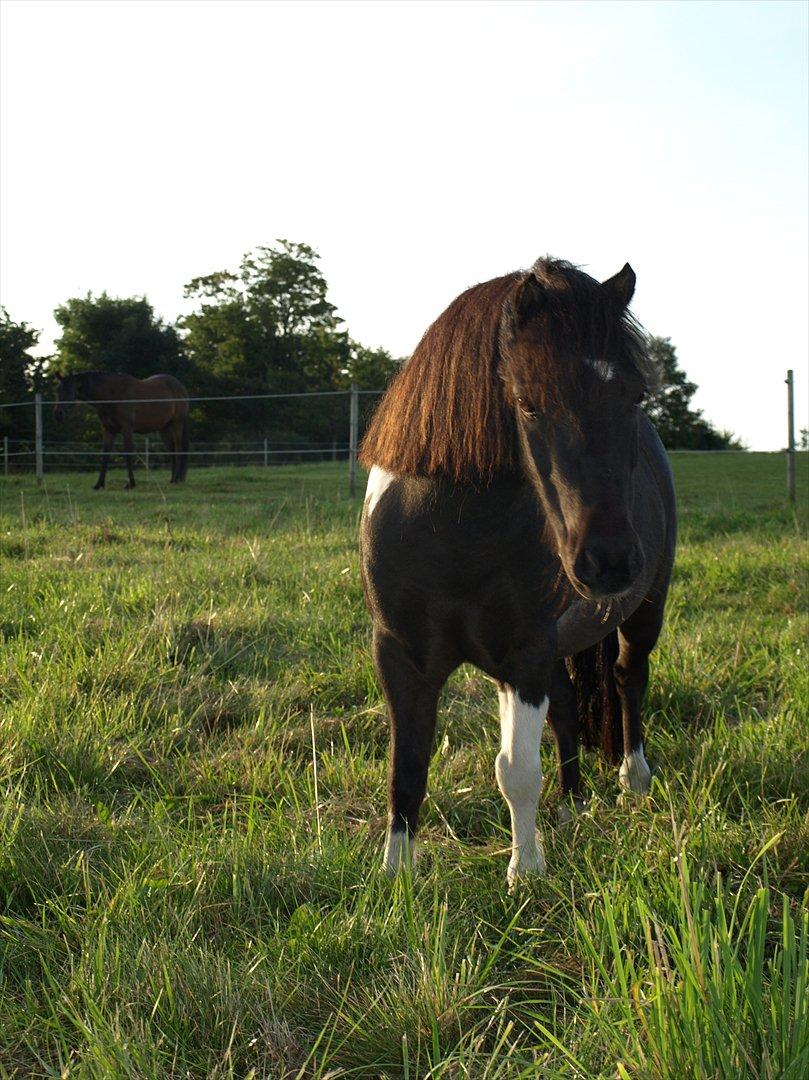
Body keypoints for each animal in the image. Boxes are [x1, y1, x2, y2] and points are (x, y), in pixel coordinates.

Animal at [54, 372, 190, 490]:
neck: (112, 395)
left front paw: (131, 484)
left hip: (177, 424)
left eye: (69, 390)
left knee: (178, 449)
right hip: (164, 429)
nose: (58, 414)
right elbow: (105, 456)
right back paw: (172, 480)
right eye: (58, 390)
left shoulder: (127, 429)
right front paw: (99, 484)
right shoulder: (108, 430)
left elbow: (128, 453)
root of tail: (181, 387)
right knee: (172, 451)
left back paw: (176, 479)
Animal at [359, 258, 676, 886]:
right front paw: (395, 876)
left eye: (636, 394)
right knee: (571, 708)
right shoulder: (401, 656)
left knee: (628, 678)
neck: (453, 534)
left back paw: (633, 781)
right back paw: (573, 805)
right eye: (528, 403)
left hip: (644, 612)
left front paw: (525, 873)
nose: (609, 562)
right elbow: (407, 766)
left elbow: (517, 770)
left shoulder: (523, 656)